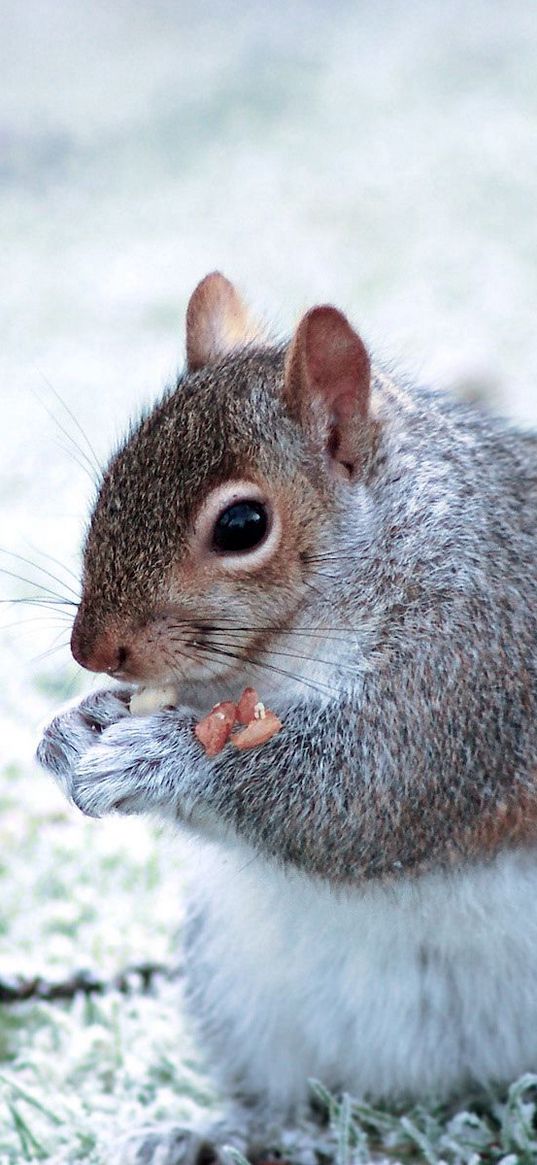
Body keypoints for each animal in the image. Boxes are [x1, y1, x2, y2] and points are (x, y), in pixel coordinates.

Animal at [36, 274, 535, 1165]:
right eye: (110, 481)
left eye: (243, 525)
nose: (92, 650)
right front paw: (72, 727)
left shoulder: (468, 668)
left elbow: (361, 799)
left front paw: (160, 757)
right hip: (237, 990)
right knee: (279, 1095)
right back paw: (217, 1131)